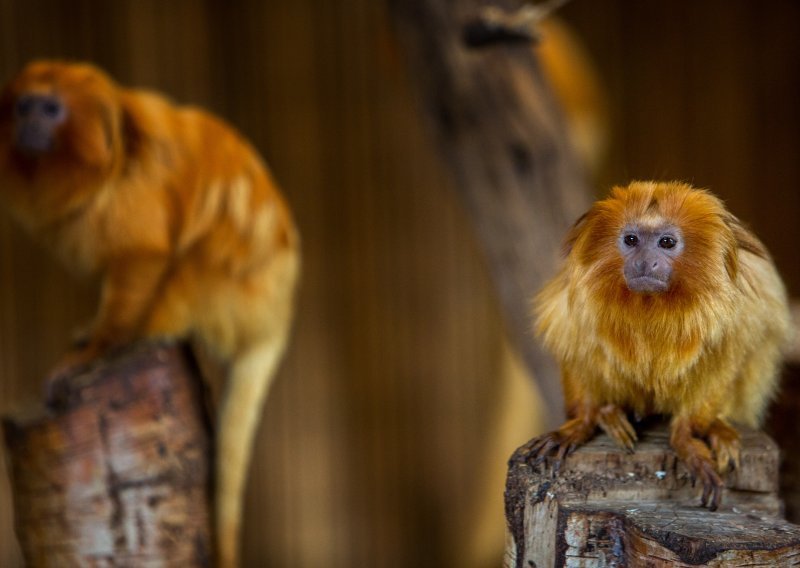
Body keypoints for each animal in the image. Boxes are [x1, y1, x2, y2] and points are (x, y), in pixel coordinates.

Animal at [0, 60, 298, 564]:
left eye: (50, 110)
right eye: (24, 107)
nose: (29, 124)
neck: (103, 163)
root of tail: (275, 315)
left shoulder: (137, 191)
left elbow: (146, 254)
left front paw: (96, 350)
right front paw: (90, 332)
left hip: (229, 291)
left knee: (188, 257)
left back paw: (151, 328)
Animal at [532, 182, 788, 510]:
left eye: (667, 242)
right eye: (631, 240)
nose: (644, 261)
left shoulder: (740, 317)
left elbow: (721, 366)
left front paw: (686, 439)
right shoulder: (576, 307)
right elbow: (578, 351)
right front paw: (582, 422)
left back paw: (717, 428)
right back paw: (610, 414)